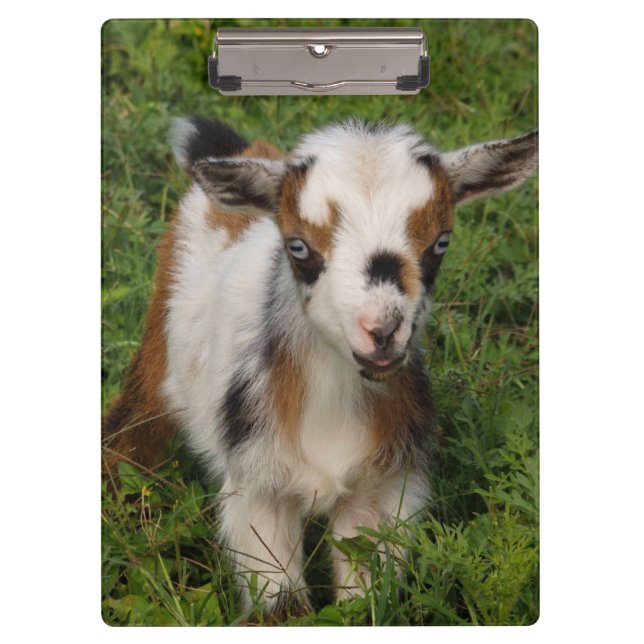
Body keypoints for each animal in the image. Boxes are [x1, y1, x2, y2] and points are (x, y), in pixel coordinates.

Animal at [102, 116, 538, 613]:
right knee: (130, 427)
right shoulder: (257, 488)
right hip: (159, 349)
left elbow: (363, 600)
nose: (382, 330)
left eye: (441, 241)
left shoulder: (379, 488)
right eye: (298, 247)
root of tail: (246, 149)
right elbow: (281, 604)